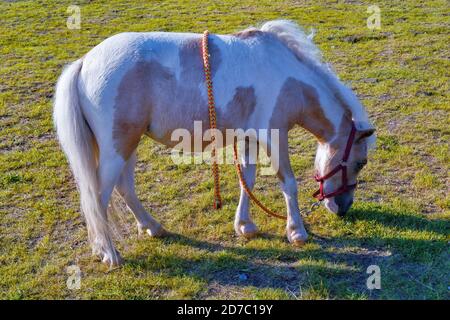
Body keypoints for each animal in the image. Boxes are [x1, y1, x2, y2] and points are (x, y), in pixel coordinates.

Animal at [52, 20, 376, 268]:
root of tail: (85, 62)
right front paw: (296, 232)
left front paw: (245, 227)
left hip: (128, 144)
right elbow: (288, 182)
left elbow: (248, 180)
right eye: (360, 162)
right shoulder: (274, 136)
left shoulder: (249, 137)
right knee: (98, 198)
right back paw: (110, 254)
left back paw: (153, 228)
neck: (287, 77)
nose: (343, 208)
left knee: (125, 188)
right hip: (117, 149)